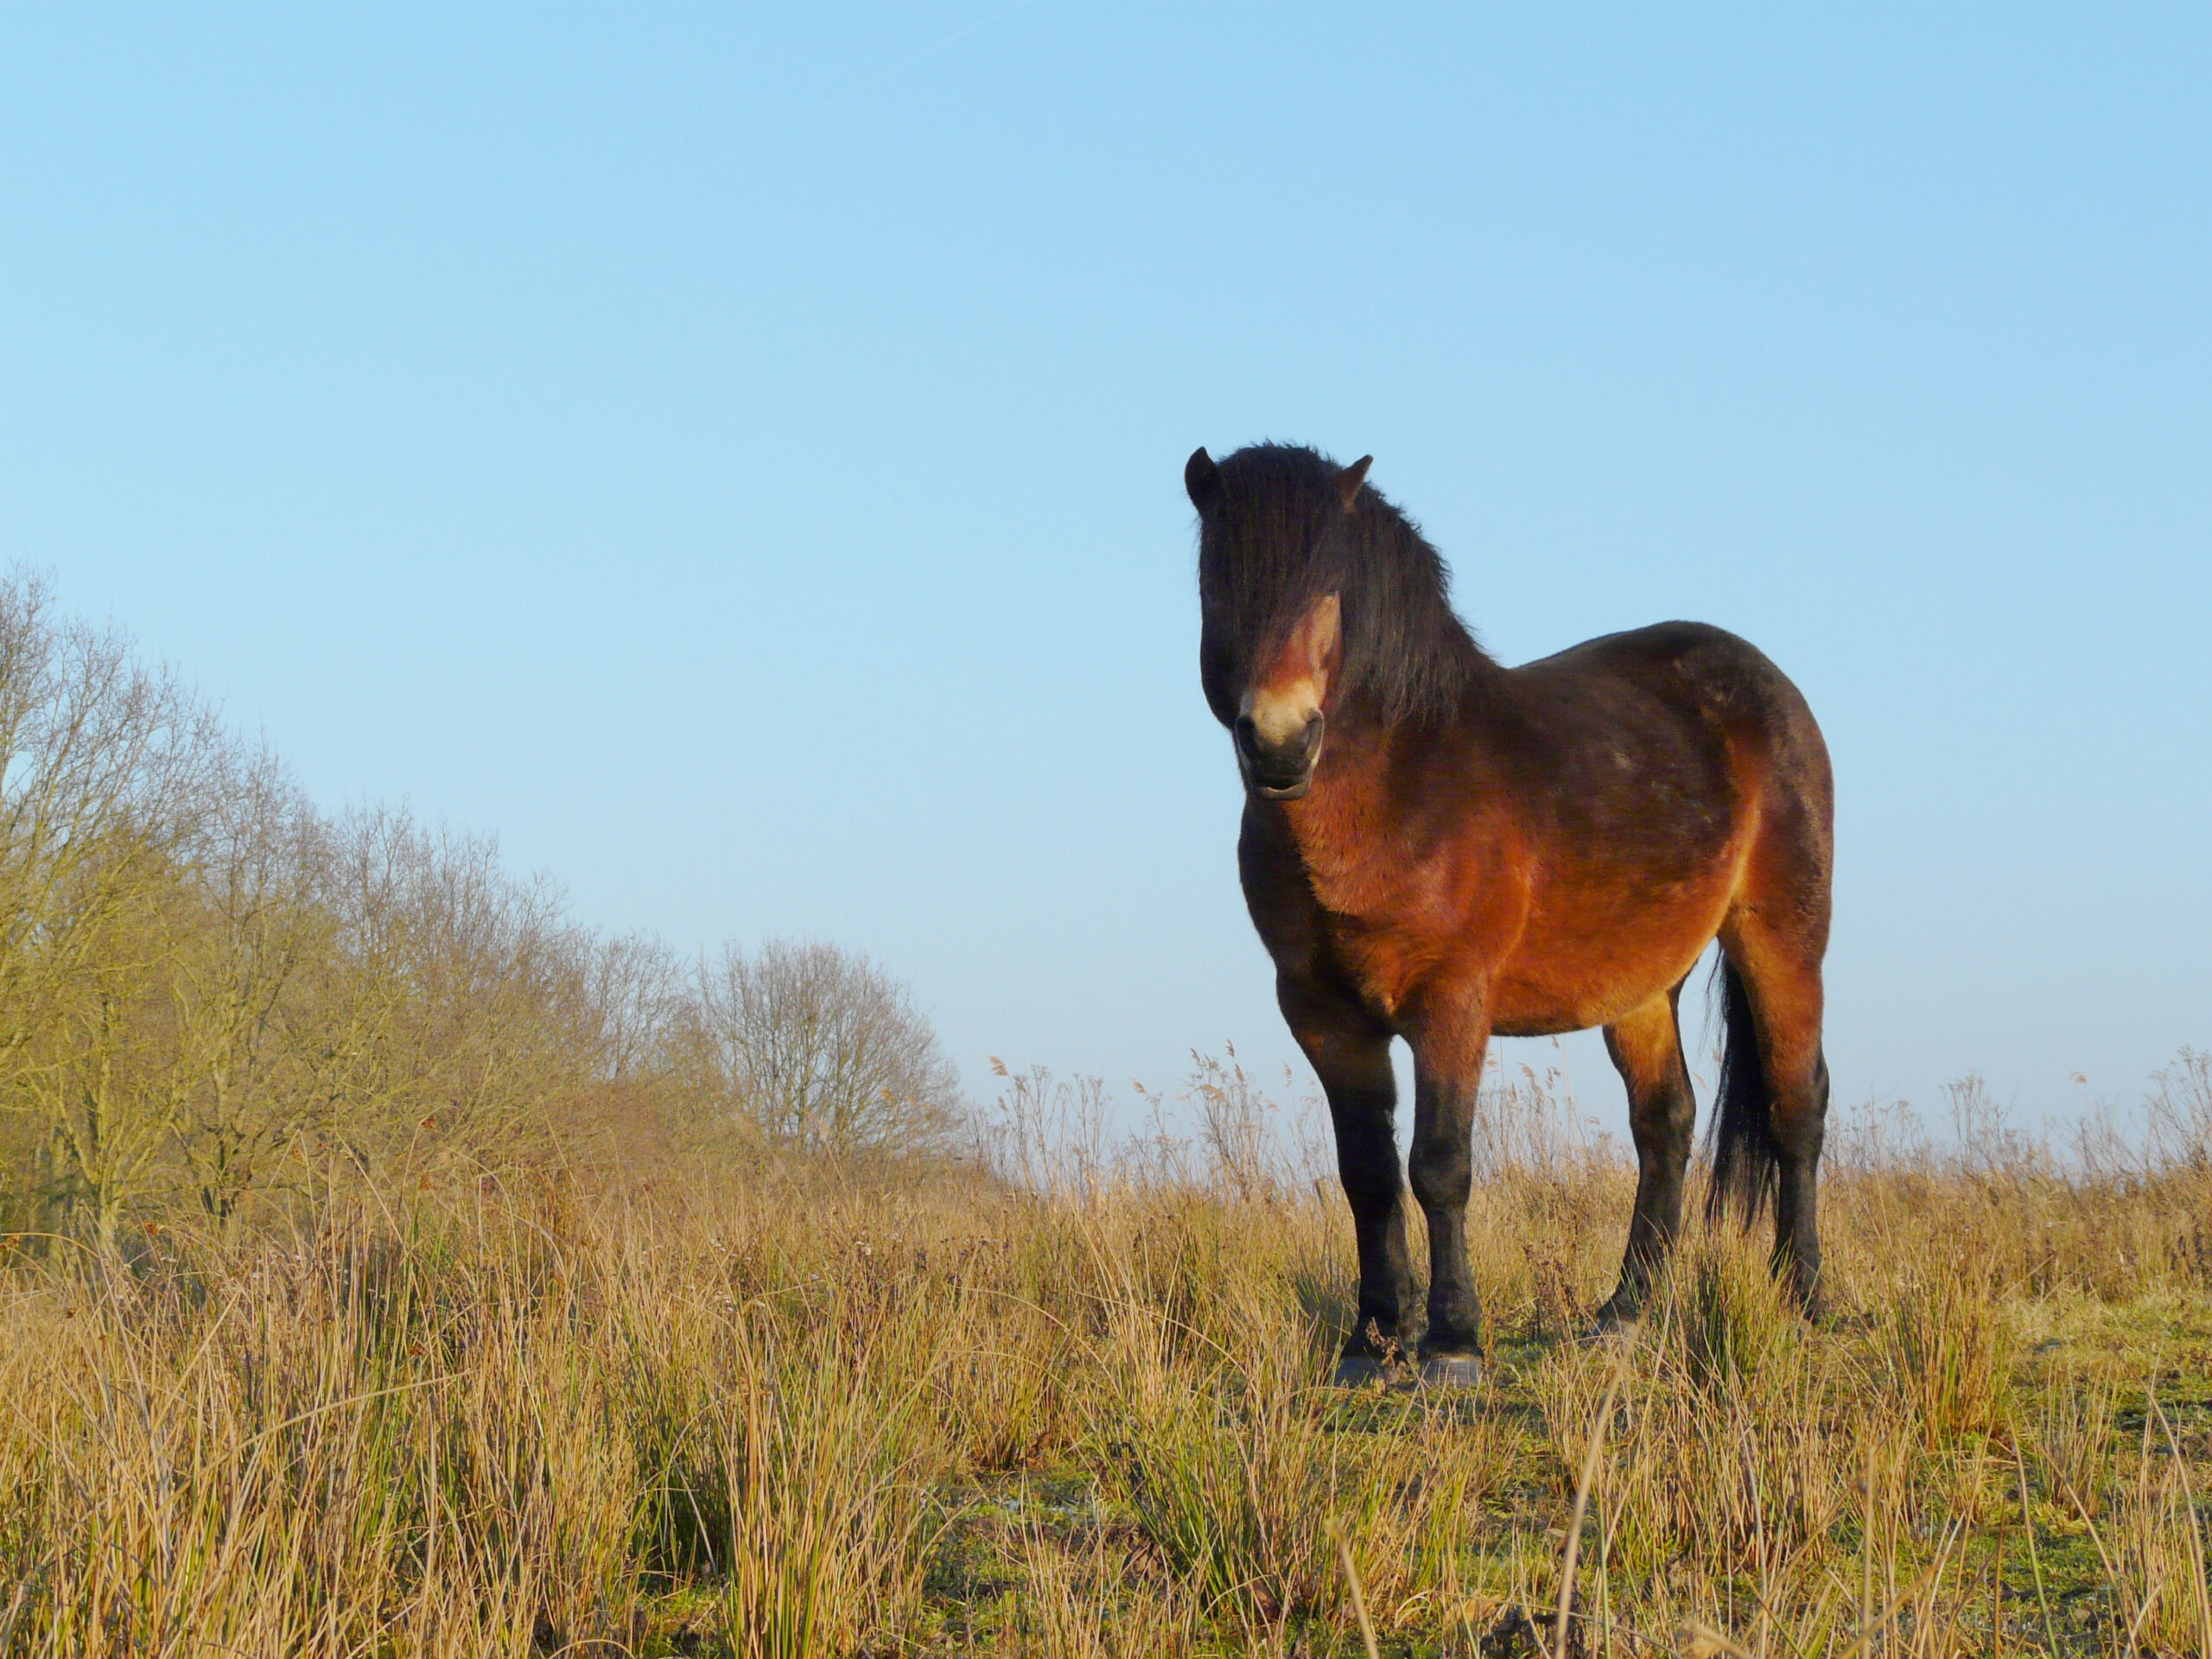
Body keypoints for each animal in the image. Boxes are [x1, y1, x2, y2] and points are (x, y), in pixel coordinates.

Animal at [1194, 442, 1831, 1389]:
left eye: (1330, 588)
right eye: (1217, 578)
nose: (1279, 742)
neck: (1401, 784)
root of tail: (1764, 685)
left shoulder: (1452, 1002)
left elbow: (1439, 1165)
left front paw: (1453, 1344)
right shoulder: (1321, 1015)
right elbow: (1367, 1174)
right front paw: (1371, 1344)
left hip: (1782, 939)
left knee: (1797, 1106)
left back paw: (1805, 1297)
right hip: (1639, 988)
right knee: (1666, 1123)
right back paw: (1624, 1314)